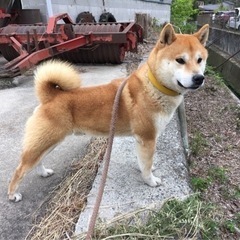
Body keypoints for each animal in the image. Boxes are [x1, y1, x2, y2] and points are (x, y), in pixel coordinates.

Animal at [8, 23, 209, 202]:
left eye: (200, 60)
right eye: (180, 60)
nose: (199, 78)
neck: (154, 86)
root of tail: (50, 96)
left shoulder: (141, 139)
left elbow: (143, 161)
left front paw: (146, 171)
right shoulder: (147, 138)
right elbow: (147, 163)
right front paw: (150, 180)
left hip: (48, 142)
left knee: (36, 162)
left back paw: (43, 172)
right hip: (45, 141)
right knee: (20, 169)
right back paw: (12, 194)